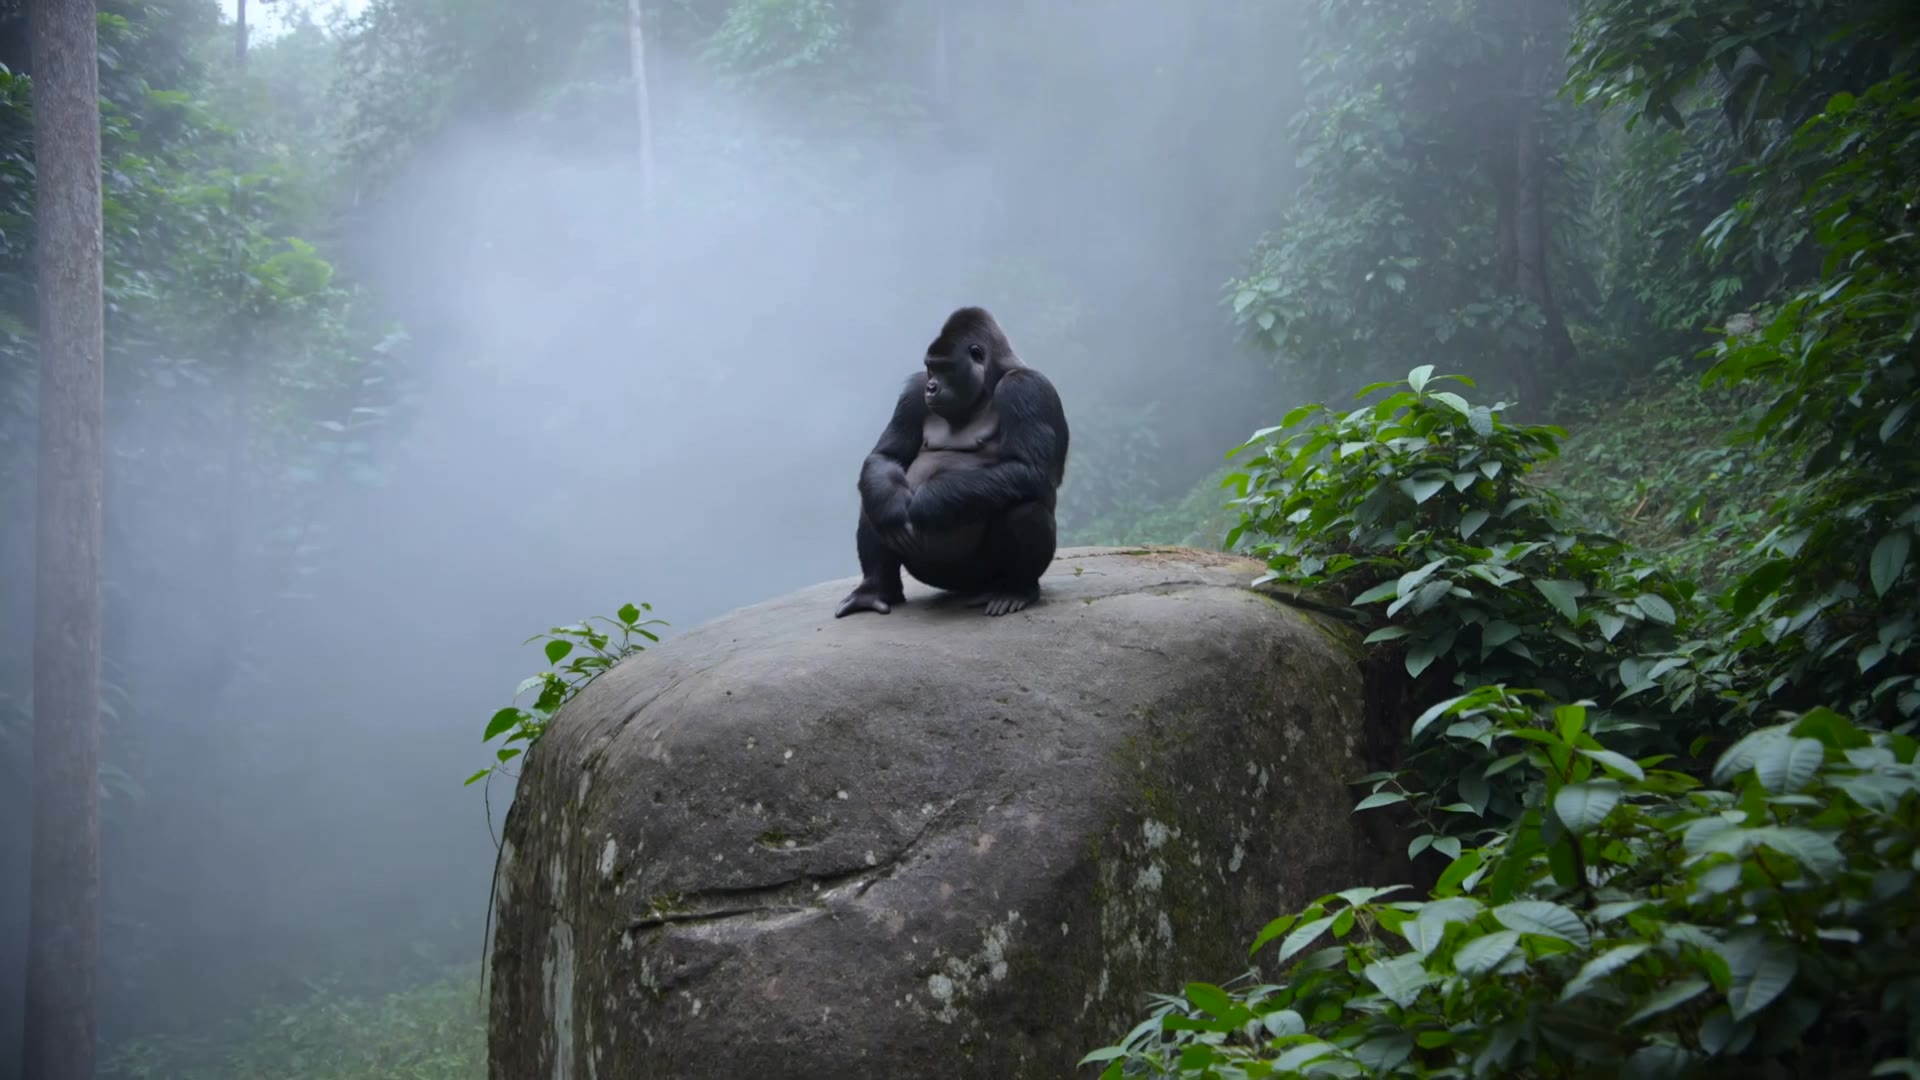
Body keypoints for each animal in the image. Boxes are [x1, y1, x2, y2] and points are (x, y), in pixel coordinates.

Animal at [835, 307, 1070, 618]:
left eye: (945, 368)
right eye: (930, 368)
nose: (932, 387)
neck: (990, 379)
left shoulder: (1026, 387)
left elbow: (1028, 468)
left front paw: (927, 504)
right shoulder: (914, 391)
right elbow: (886, 457)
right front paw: (892, 508)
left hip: (981, 576)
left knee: (1026, 509)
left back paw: (1017, 589)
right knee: (876, 493)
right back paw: (876, 589)